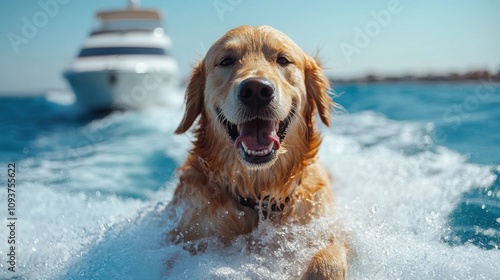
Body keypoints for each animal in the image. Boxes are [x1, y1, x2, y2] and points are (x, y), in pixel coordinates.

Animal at [170, 25, 346, 278]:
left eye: (283, 59)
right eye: (226, 60)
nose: (255, 90)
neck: (259, 192)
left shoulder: (327, 228)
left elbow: (328, 258)